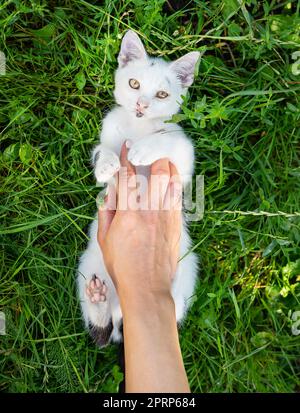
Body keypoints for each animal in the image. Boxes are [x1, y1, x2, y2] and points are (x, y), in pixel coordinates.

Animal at [77, 31, 199, 344]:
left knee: (171, 312)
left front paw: (144, 149)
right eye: (134, 84)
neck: (138, 126)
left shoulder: (183, 158)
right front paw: (106, 164)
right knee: (102, 334)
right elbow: (101, 151)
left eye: (162, 95)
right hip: (87, 265)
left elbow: (171, 141)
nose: (142, 105)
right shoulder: (108, 132)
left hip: (187, 270)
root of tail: (123, 314)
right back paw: (97, 302)